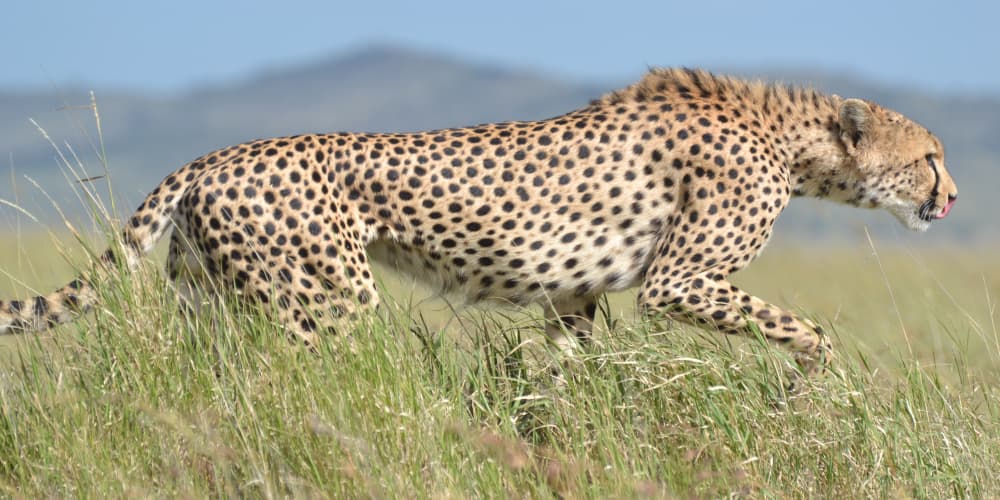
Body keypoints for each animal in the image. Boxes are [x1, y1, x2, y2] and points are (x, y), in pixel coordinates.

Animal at [0, 68, 958, 377]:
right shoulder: (679, 282)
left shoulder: (575, 296)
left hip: (210, 298)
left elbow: (561, 366)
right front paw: (812, 382)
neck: (792, 143)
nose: (951, 200)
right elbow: (807, 328)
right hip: (328, 301)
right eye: (933, 156)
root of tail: (214, 156)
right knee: (303, 378)